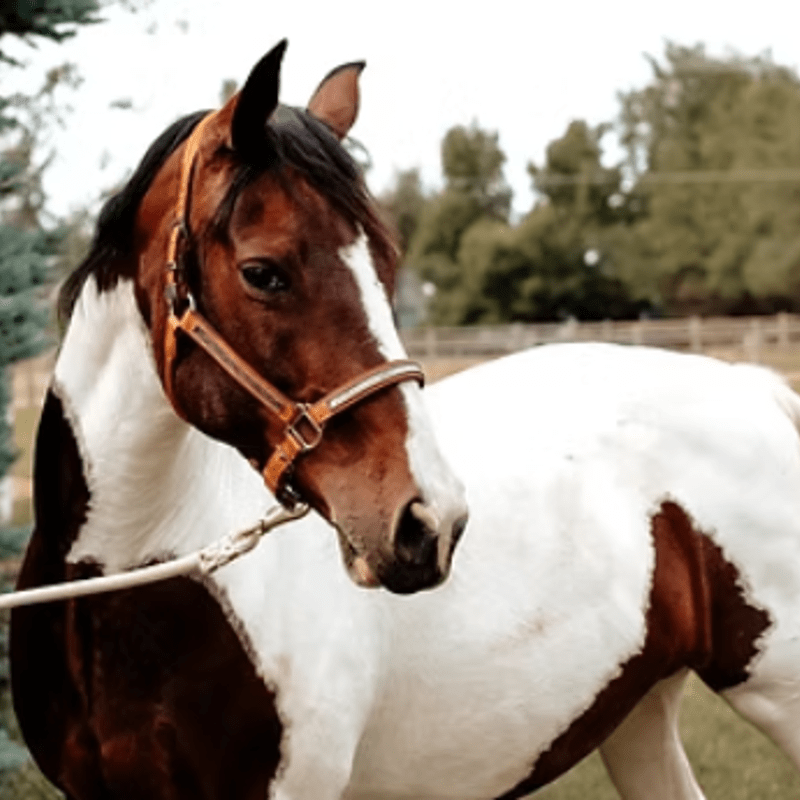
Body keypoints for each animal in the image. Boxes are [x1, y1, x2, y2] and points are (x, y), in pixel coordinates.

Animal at [11, 43, 800, 800]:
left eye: (387, 268)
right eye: (263, 272)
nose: (430, 523)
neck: (124, 583)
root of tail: (754, 387)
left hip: (778, 692)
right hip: (639, 713)